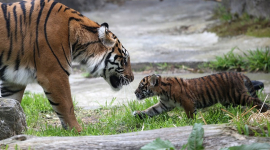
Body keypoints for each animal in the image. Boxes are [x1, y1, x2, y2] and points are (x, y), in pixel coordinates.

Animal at [0, 0, 134, 132]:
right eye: (124, 60)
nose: (132, 78)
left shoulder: (13, 80)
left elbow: (13, 105)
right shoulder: (54, 74)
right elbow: (67, 105)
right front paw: (78, 131)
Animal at [134, 72, 266, 119]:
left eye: (141, 86)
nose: (135, 92)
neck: (162, 91)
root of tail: (239, 73)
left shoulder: (187, 102)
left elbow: (190, 114)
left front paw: (189, 123)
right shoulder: (164, 105)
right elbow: (151, 110)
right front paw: (139, 114)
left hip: (237, 95)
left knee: (255, 101)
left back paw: (264, 111)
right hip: (230, 100)